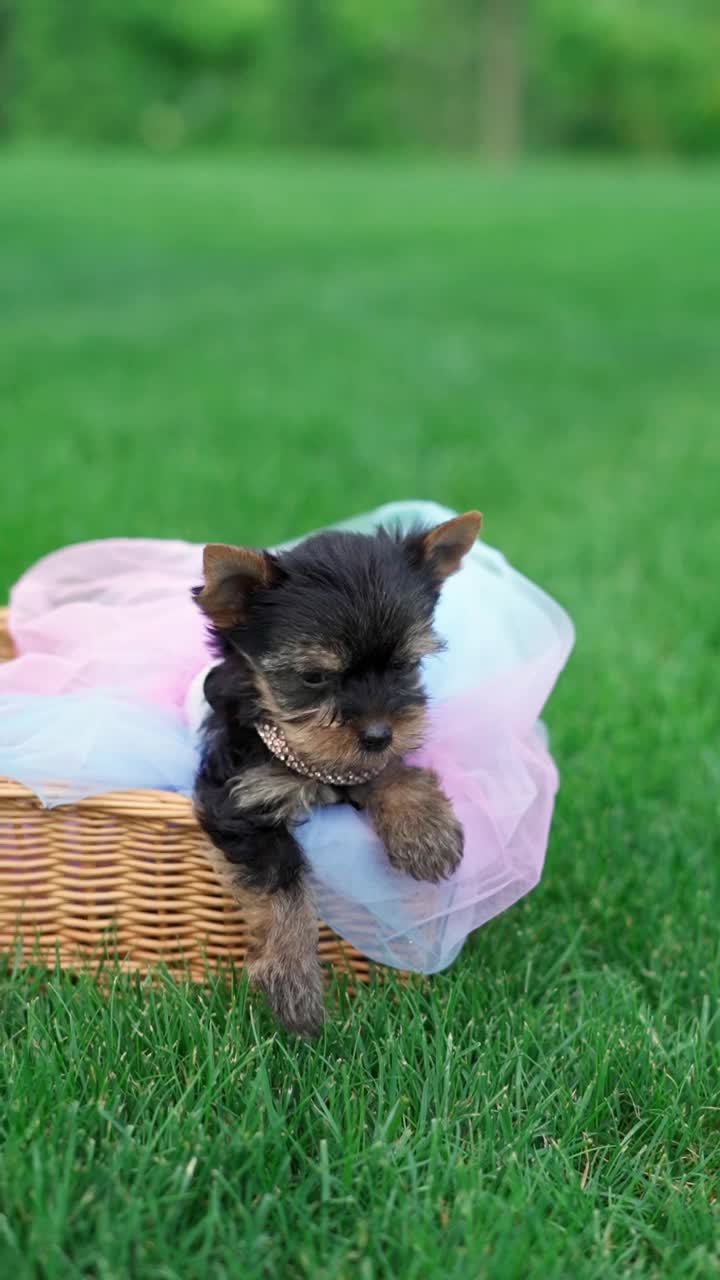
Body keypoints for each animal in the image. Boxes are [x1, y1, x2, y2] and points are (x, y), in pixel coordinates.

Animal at [193, 506, 479, 1029]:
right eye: (313, 677)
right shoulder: (241, 797)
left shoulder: (364, 758)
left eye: (405, 667)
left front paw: (424, 830)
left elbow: (390, 770)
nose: (378, 734)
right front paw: (294, 980)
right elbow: (280, 882)